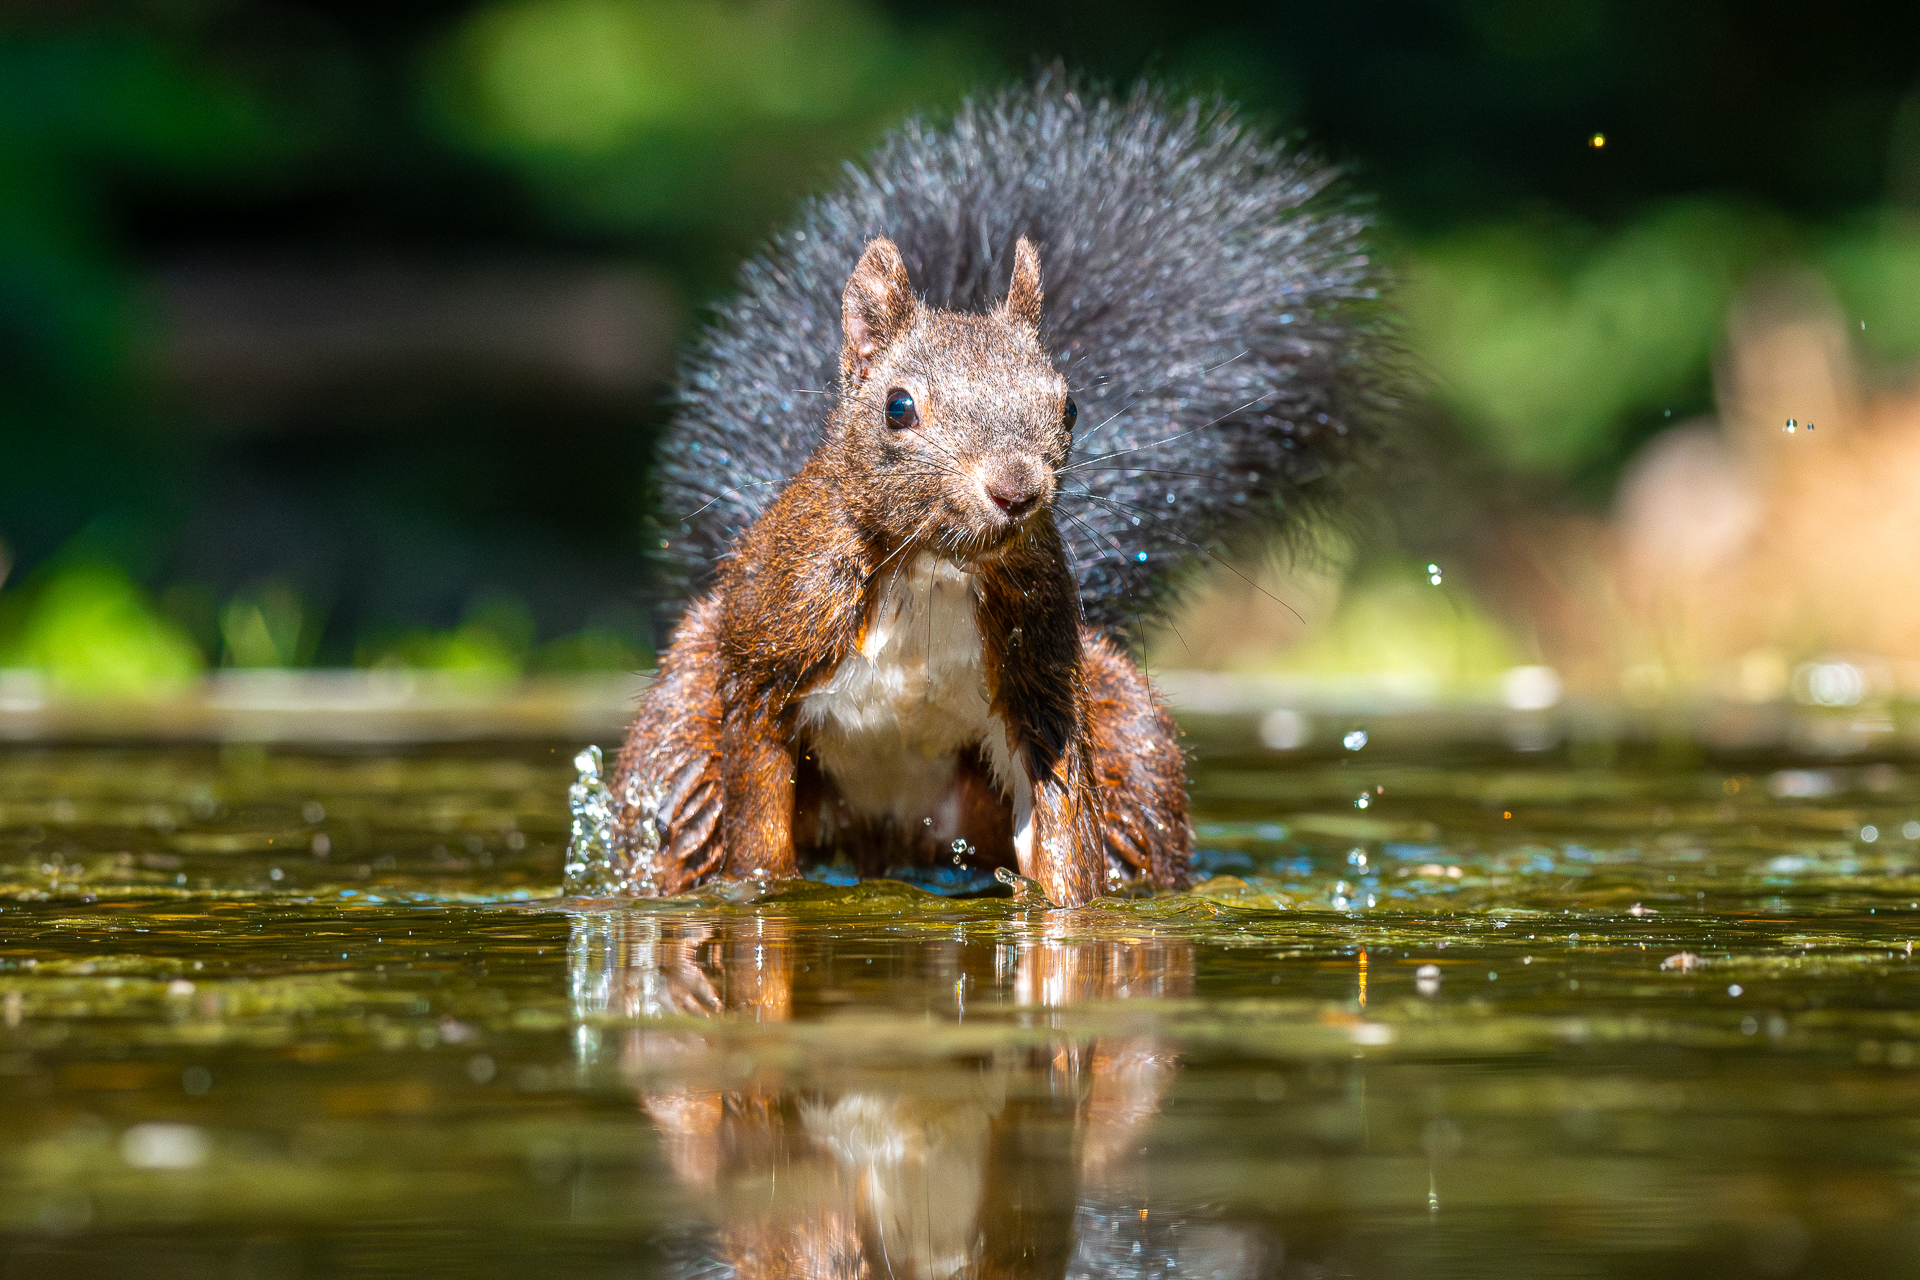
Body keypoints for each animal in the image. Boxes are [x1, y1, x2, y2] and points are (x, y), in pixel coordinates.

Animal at [603, 77, 1387, 909]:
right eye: (899, 407)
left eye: (1069, 406)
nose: (1017, 489)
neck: (929, 570)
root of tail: (885, 840)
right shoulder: (769, 656)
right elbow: (755, 808)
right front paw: (762, 889)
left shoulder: (1041, 675)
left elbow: (1065, 820)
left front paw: (1072, 905)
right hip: (685, 715)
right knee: (685, 795)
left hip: (1121, 736)